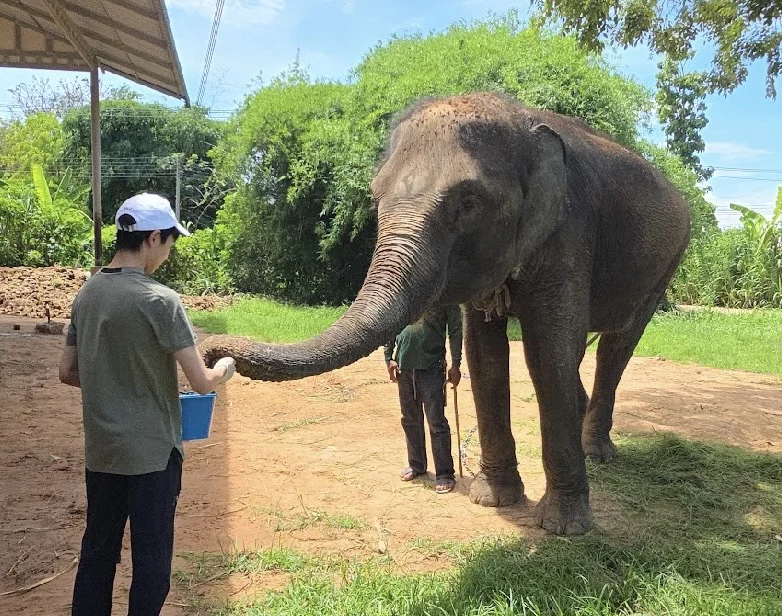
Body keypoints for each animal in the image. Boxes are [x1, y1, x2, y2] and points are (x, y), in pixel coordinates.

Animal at [202, 92, 691, 535]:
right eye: (374, 196)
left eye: (468, 202)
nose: (212, 354)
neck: (519, 117)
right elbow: (484, 355)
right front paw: (492, 500)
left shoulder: (569, 230)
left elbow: (545, 353)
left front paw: (564, 528)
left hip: (669, 260)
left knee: (617, 345)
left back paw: (599, 452)